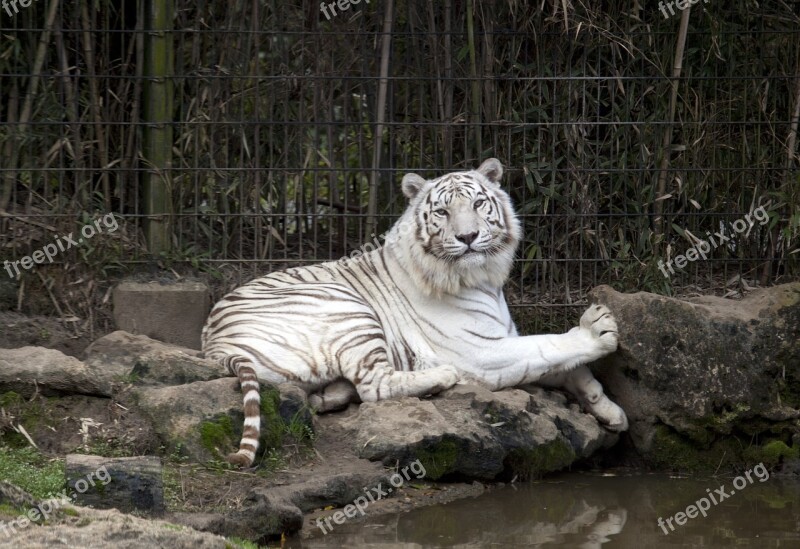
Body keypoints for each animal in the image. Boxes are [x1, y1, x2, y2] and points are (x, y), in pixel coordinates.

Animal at [203, 158, 628, 466]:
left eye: (478, 204)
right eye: (441, 212)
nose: (468, 237)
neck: (484, 279)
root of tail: (214, 343)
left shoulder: (506, 336)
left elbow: (567, 367)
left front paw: (609, 410)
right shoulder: (481, 351)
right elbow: (549, 346)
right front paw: (596, 330)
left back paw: (333, 393)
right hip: (347, 308)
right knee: (374, 386)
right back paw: (441, 377)